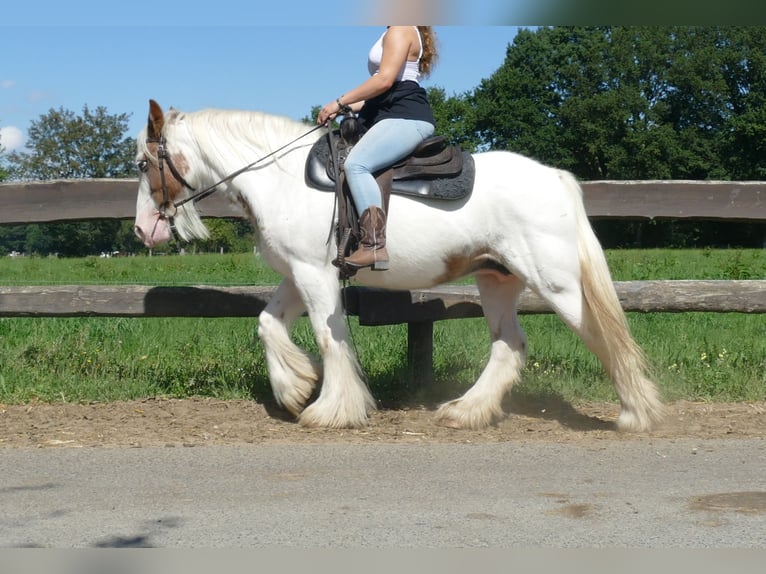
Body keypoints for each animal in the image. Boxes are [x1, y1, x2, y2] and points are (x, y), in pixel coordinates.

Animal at [133, 99, 665, 432]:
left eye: (141, 163)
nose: (142, 230)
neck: (279, 178)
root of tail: (555, 177)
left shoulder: (314, 274)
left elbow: (329, 337)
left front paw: (331, 409)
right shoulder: (297, 274)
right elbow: (268, 324)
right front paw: (294, 388)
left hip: (557, 285)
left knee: (605, 335)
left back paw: (637, 414)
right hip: (497, 279)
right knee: (509, 345)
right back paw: (466, 411)